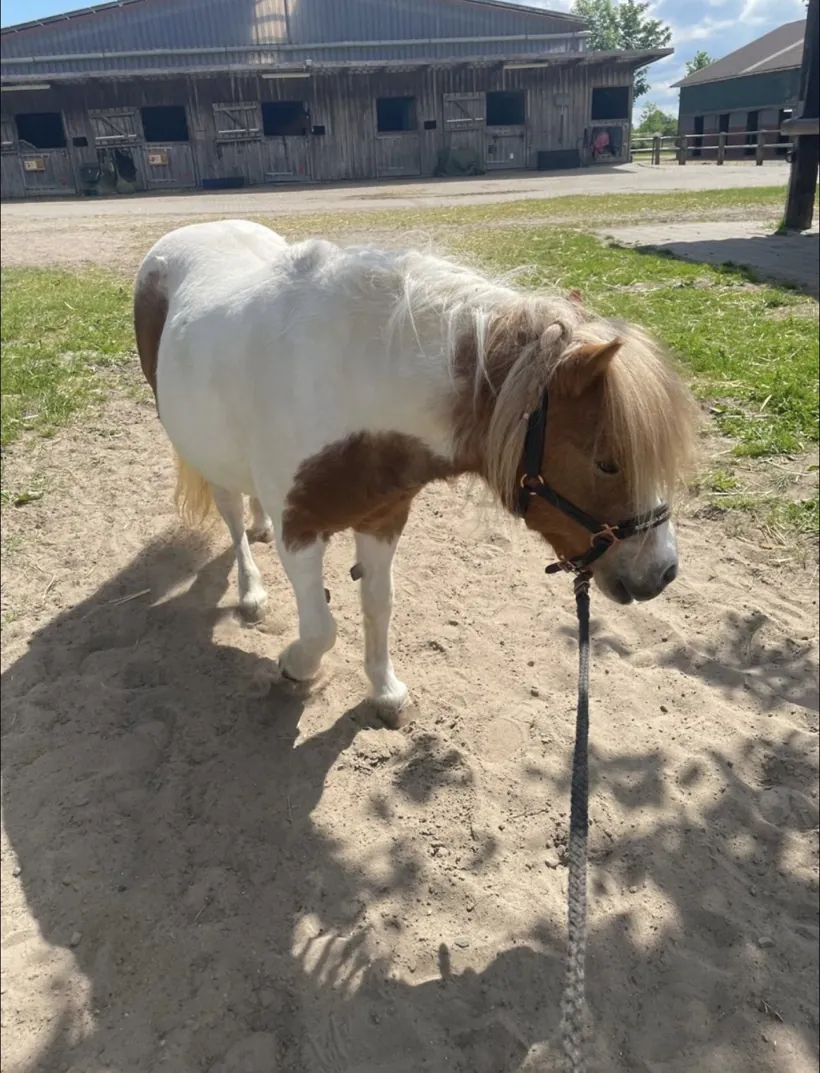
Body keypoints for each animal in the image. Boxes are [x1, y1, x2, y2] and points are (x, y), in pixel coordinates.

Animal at [134, 219, 696, 717]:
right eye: (607, 462)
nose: (662, 572)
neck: (352, 383)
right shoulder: (301, 530)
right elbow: (321, 628)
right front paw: (295, 666)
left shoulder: (384, 519)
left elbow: (379, 606)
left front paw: (385, 691)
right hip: (202, 451)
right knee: (230, 516)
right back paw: (250, 591)